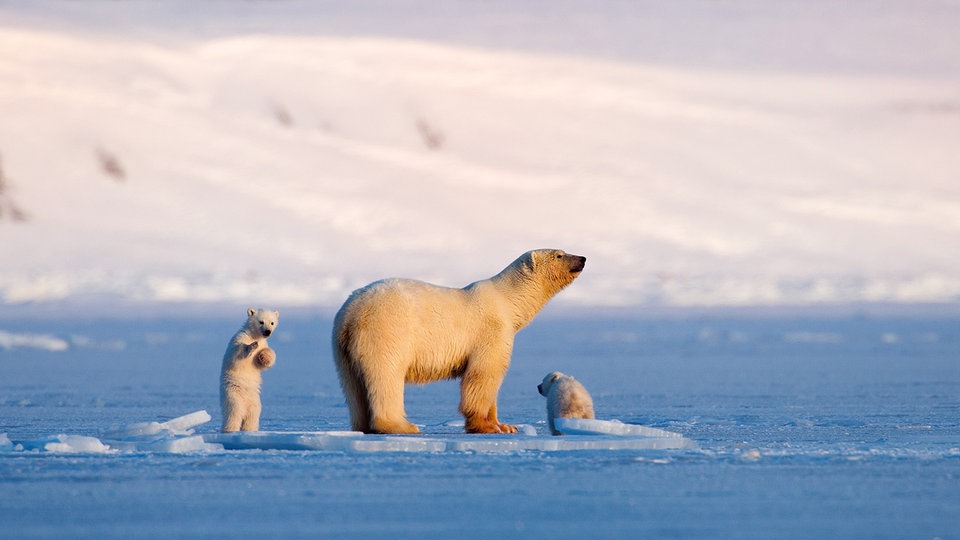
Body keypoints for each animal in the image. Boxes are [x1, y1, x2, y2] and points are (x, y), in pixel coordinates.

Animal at [330, 249, 584, 434]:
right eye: (559, 254)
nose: (582, 258)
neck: (507, 301)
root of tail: (351, 313)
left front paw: (506, 425)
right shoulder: (491, 331)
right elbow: (483, 375)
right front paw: (486, 427)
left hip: (342, 347)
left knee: (353, 387)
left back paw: (363, 425)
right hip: (387, 331)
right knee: (386, 376)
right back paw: (401, 426)